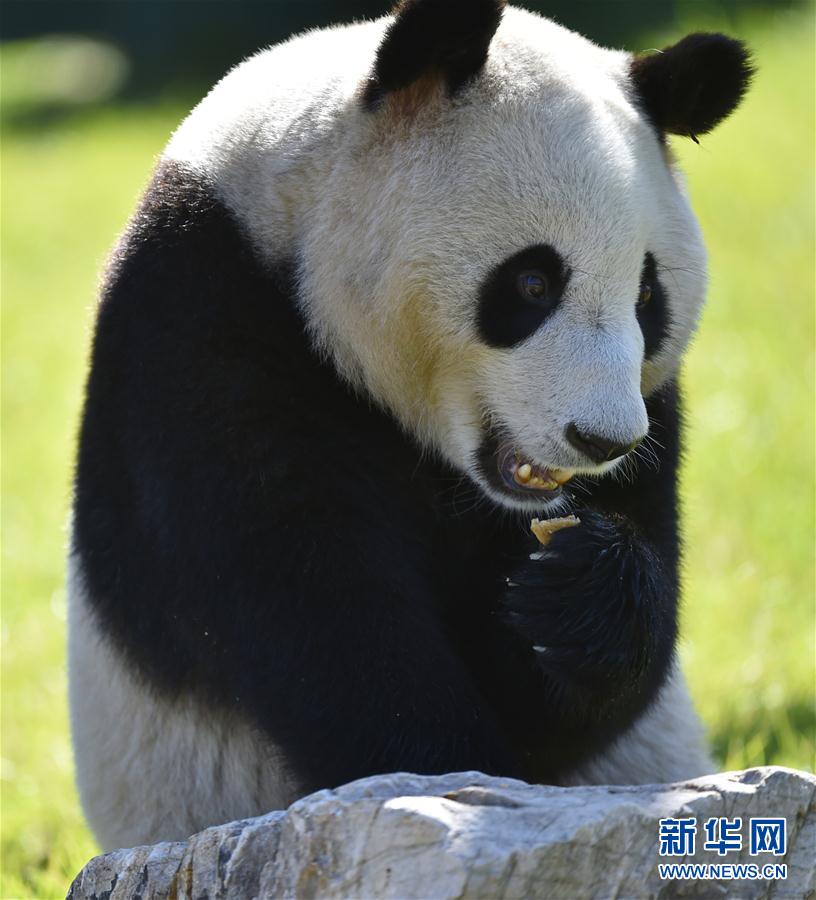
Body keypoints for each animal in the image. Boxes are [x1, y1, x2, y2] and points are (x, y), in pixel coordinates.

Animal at [68, 0, 752, 852]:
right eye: (532, 282)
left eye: (647, 298)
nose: (603, 441)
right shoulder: (203, 331)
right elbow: (321, 616)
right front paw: (442, 775)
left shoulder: (656, 411)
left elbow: (590, 696)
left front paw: (584, 590)